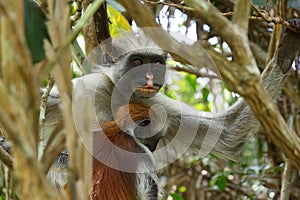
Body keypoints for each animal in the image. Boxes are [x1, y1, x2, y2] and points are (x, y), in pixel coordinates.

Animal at [45, 19, 300, 185]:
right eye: (137, 62)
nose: (149, 77)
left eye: (156, 63)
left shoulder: (158, 106)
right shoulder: (89, 89)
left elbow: (226, 134)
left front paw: (284, 56)